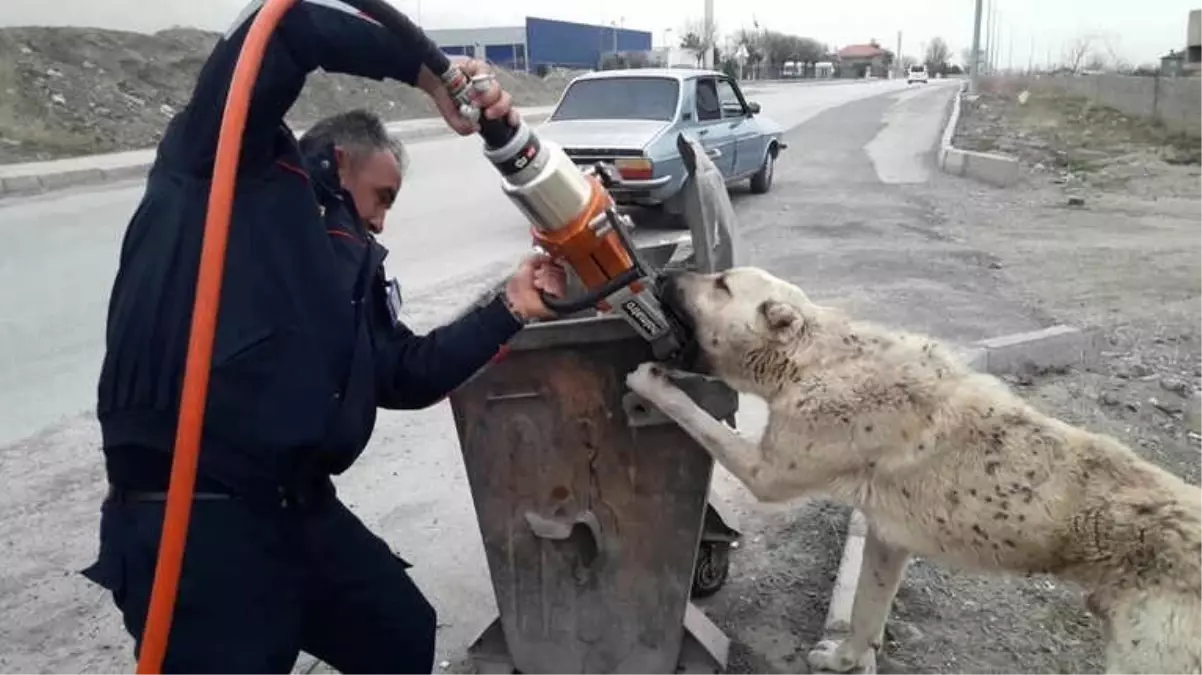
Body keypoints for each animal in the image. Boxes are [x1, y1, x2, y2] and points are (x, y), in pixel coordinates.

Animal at [625, 265, 1202, 667]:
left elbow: (696, 416)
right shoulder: (887, 540)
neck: (817, 359)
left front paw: (651, 386)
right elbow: (865, 613)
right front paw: (845, 660)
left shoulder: (765, 472)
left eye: (721, 284)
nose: (662, 274)